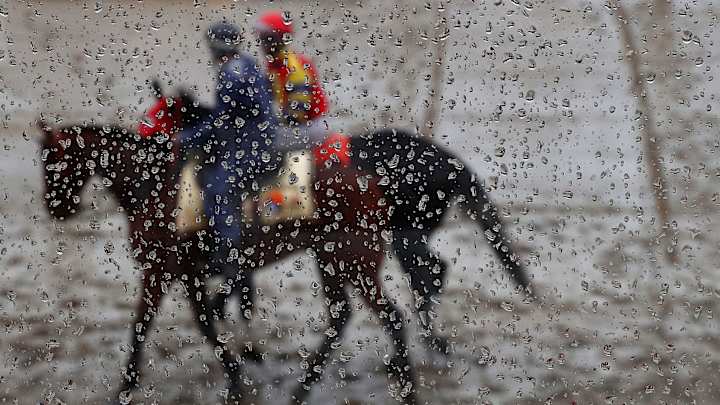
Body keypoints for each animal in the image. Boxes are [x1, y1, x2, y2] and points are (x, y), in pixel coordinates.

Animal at [38, 84, 417, 404]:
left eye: (51, 161)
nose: (55, 208)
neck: (155, 185)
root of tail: (371, 180)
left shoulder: (160, 269)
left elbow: (146, 325)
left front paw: (126, 388)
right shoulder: (187, 271)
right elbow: (204, 321)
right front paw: (235, 373)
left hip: (353, 259)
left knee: (390, 317)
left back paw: (405, 386)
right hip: (330, 259)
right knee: (343, 316)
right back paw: (304, 388)